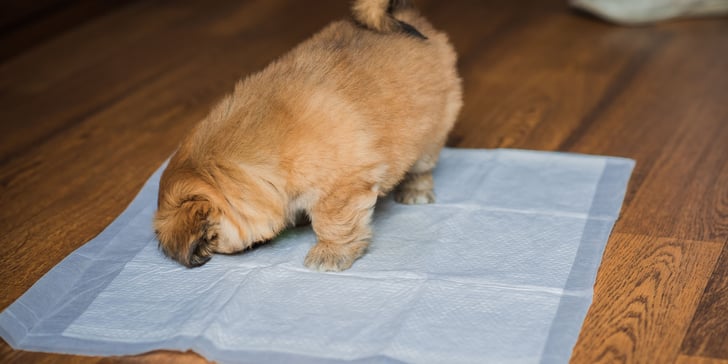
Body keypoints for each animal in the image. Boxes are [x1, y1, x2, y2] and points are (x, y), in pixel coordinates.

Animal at [153, 0, 460, 272]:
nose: (203, 253)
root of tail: (406, 15)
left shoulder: (341, 189)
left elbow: (333, 223)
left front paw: (330, 254)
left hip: (431, 134)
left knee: (422, 166)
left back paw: (415, 191)